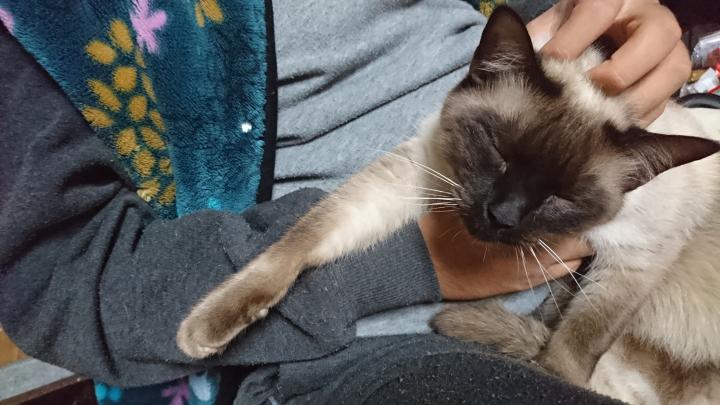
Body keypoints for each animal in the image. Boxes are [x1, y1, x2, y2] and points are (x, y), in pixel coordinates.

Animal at [177, 6, 720, 403]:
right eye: (497, 153)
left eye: (561, 197)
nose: (501, 216)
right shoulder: (414, 175)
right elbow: (300, 240)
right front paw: (204, 329)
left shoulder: (634, 259)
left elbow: (572, 347)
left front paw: (548, 373)